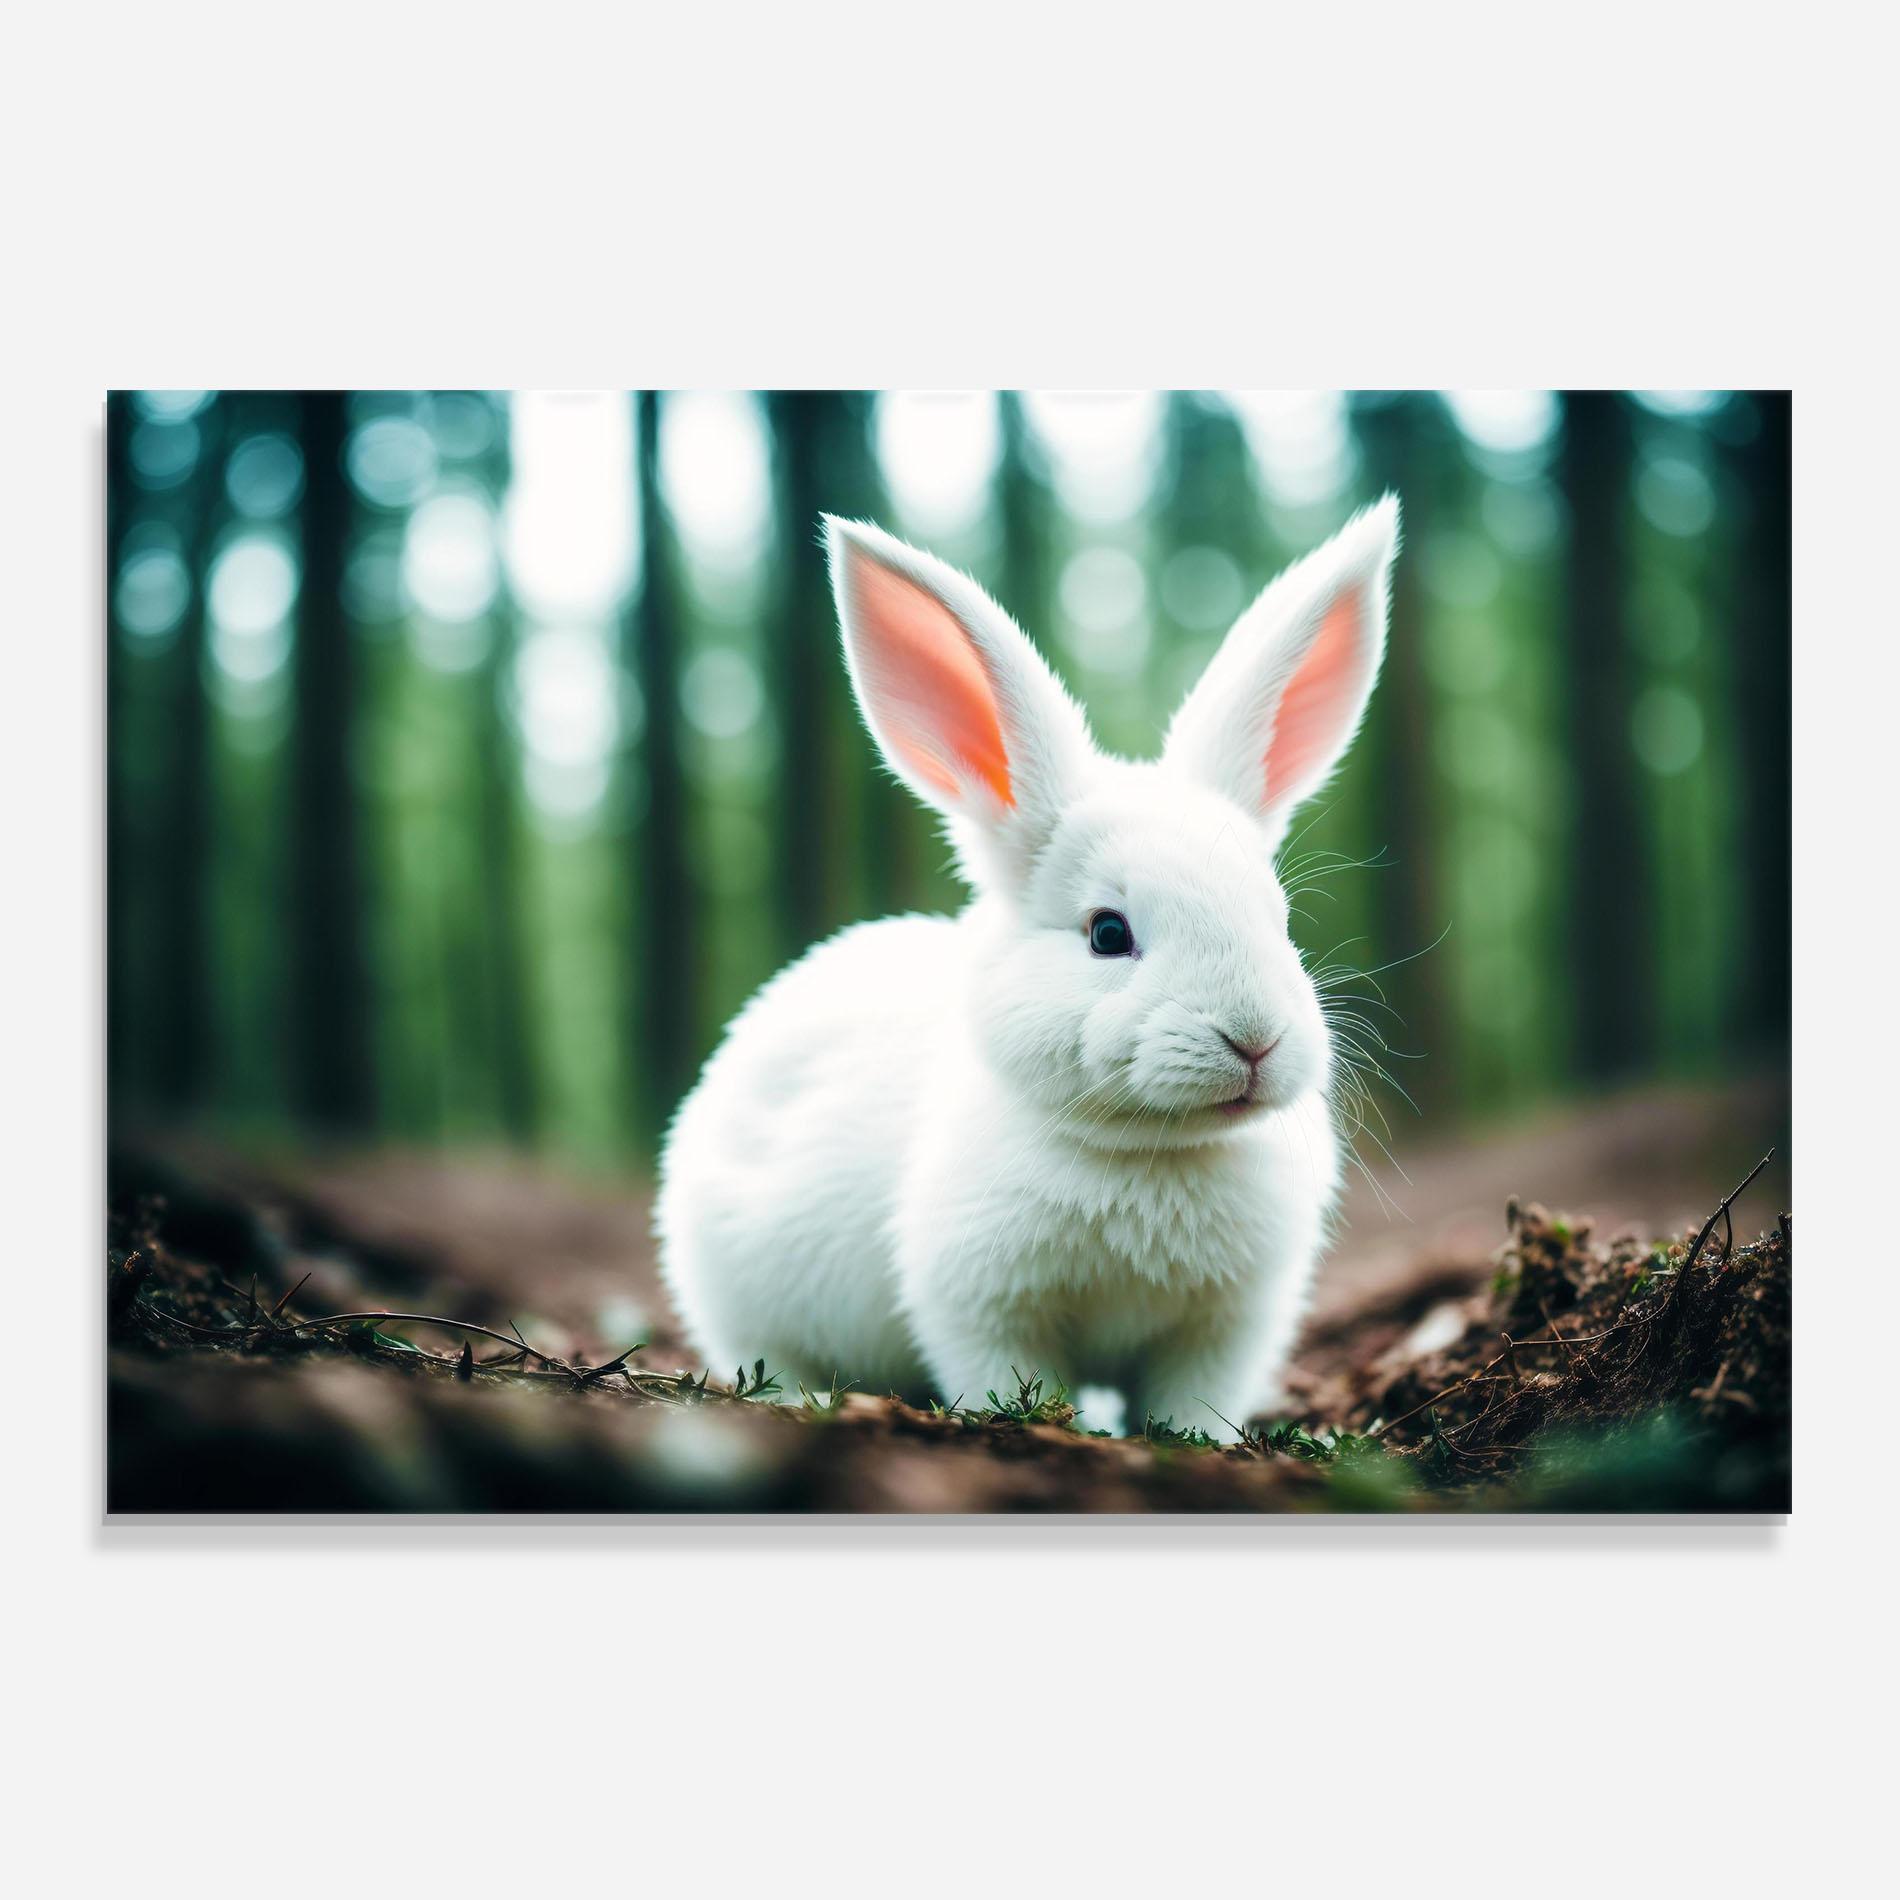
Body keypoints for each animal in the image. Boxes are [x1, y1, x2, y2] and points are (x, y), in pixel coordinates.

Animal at [656, 495, 1400, 1440]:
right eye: (1108, 933)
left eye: (1280, 917)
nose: (1255, 1039)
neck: (1149, 1153)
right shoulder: (979, 1306)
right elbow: (1006, 1372)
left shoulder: (1226, 1326)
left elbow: (1190, 1399)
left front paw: (1190, 1440)